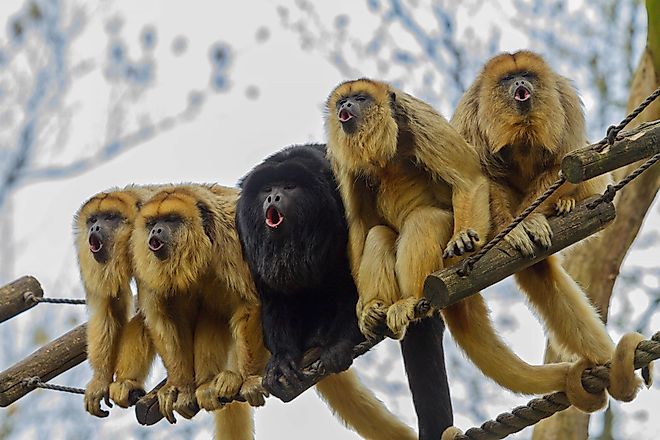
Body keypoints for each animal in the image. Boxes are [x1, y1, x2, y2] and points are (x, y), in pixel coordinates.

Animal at [236, 143, 452, 439]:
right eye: (267, 189)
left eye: (290, 186)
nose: (273, 198)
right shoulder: (247, 238)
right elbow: (274, 299)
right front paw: (281, 359)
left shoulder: (341, 203)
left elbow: (353, 282)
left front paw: (339, 344)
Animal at [325, 78, 576, 397]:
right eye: (342, 101)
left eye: (360, 98)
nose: (345, 106)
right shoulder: (340, 160)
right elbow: (358, 223)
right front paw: (361, 309)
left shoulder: (418, 119)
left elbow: (469, 180)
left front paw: (462, 236)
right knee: (378, 234)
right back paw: (377, 309)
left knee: (425, 220)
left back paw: (411, 301)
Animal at [450, 51, 614, 365]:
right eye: (508, 79)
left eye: (526, 74)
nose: (520, 82)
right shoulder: (470, 112)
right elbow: (482, 177)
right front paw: (511, 230)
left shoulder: (565, 98)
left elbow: (565, 161)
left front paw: (531, 220)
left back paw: (564, 204)